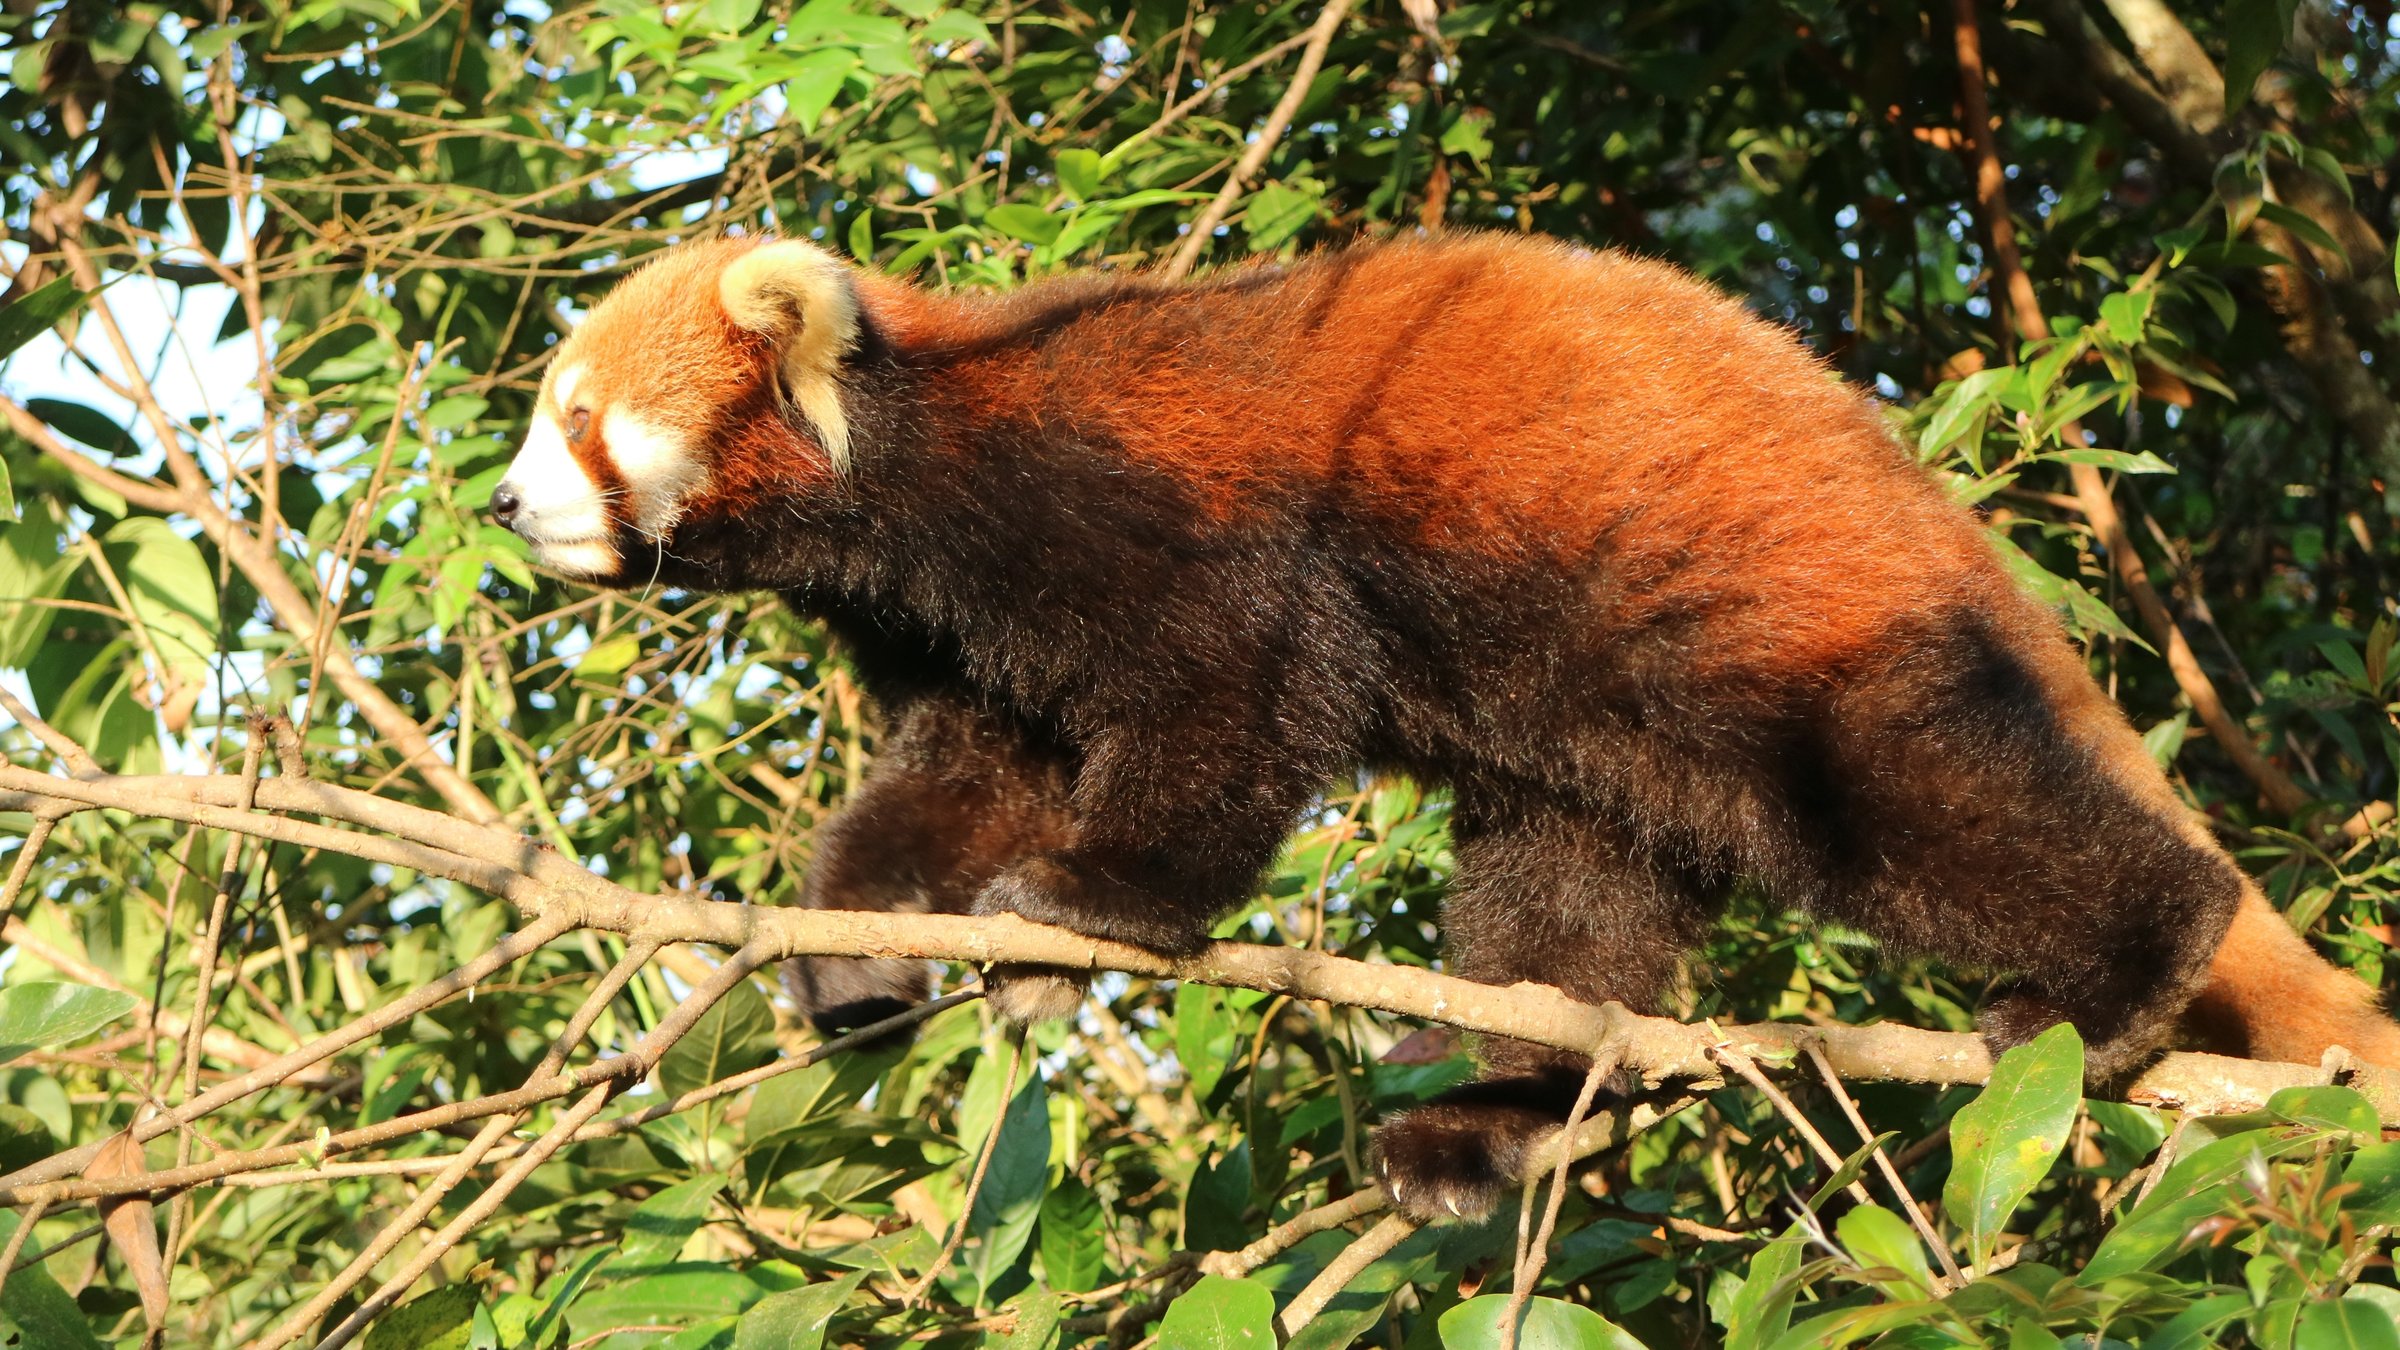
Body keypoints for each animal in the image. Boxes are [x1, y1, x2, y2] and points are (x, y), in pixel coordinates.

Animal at [490, 231, 2400, 1222]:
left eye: (576, 417)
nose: (506, 505)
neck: (917, 467)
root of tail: (1923, 499)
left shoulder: (1162, 512)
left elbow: (1235, 704)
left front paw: (1097, 901)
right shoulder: (962, 633)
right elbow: (960, 780)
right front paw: (859, 949)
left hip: (1780, 615)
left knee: (1910, 791)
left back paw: (2123, 970)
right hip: (1604, 726)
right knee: (1569, 897)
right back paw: (1503, 1103)